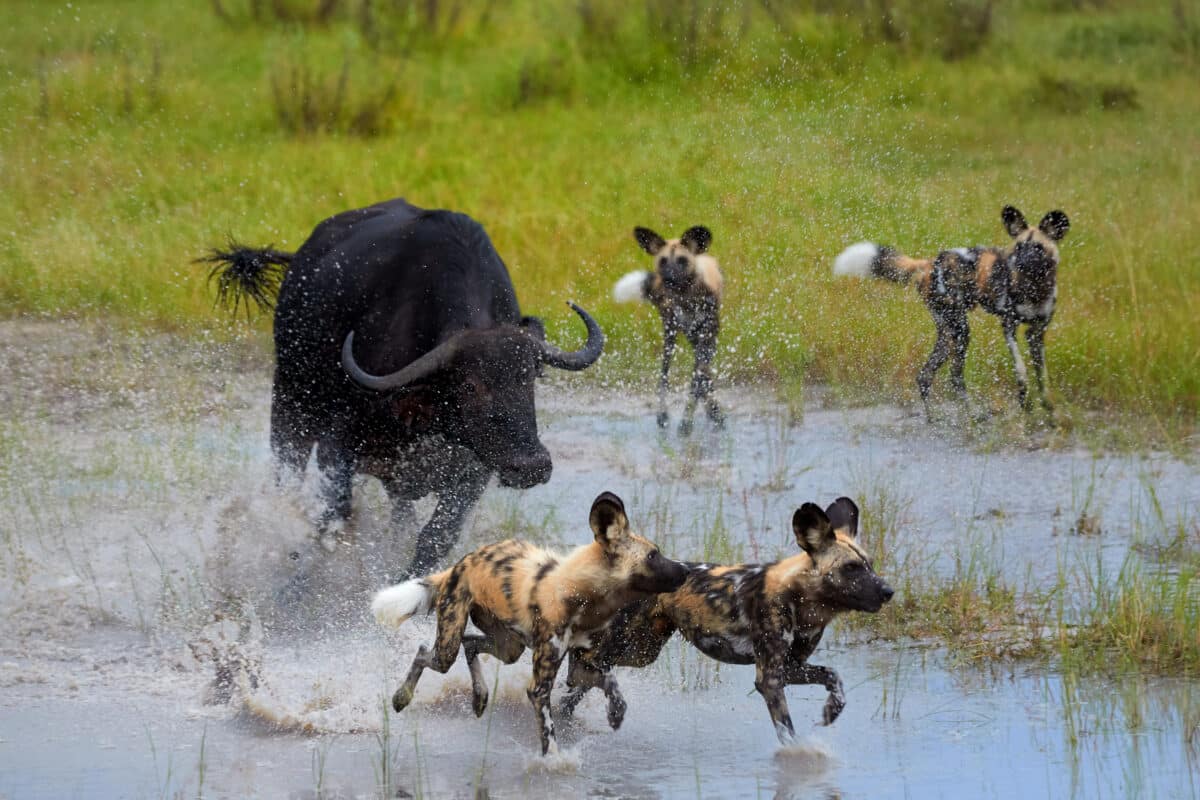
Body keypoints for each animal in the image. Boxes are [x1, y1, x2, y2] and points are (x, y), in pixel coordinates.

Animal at [202, 197, 609, 578]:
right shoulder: (338, 447)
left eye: (530, 378)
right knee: (287, 481)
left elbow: (434, 537)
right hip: (290, 405)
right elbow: (335, 522)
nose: (531, 465)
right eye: (470, 386)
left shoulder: (474, 470)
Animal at [367, 489, 686, 758]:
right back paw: (401, 698)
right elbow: (548, 731)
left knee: (470, 644)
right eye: (653, 555)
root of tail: (461, 564)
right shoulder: (540, 687)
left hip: (509, 647)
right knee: (426, 651)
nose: (685, 568)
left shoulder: (581, 669)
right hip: (448, 647)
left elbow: (612, 684)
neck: (583, 596)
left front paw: (616, 714)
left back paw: (479, 697)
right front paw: (553, 762)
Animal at [554, 496, 892, 748]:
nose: (888, 591)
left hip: (640, 650)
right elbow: (788, 731)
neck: (801, 599)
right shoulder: (769, 679)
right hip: (626, 647)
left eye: (870, 565)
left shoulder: (791, 667)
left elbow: (834, 676)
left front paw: (832, 710)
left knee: (579, 680)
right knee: (583, 669)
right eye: (851, 568)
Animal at [614, 225, 724, 434]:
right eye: (663, 261)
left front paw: (691, 421)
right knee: (667, 375)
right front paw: (678, 421)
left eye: (682, 260)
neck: (686, 297)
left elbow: (698, 382)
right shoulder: (677, 333)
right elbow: (682, 380)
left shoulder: (707, 338)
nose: (669, 279)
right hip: (672, 338)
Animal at [830, 205, 1075, 419]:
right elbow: (1021, 371)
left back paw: (933, 419)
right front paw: (1026, 404)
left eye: (1038, 249)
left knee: (925, 375)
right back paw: (972, 416)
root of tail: (927, 263)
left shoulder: (1036, 333)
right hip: (960, 331)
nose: (1018, 263)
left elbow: (1042, 378)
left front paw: (1050, 410)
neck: (1034, 288)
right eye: (1018, 248)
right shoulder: (1009, 328)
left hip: (949, 333)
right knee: (954, 376)